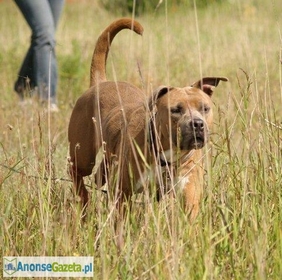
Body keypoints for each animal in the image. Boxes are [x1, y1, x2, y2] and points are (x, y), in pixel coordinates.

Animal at [68, 18, 229, 221]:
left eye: (205, 108)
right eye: (176, 110)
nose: (197, 124)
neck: (167, 156)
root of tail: (99, 83)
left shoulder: (189, 194)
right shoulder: (121, 192)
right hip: (83, 154)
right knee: (75, 171)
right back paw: (83, 199)